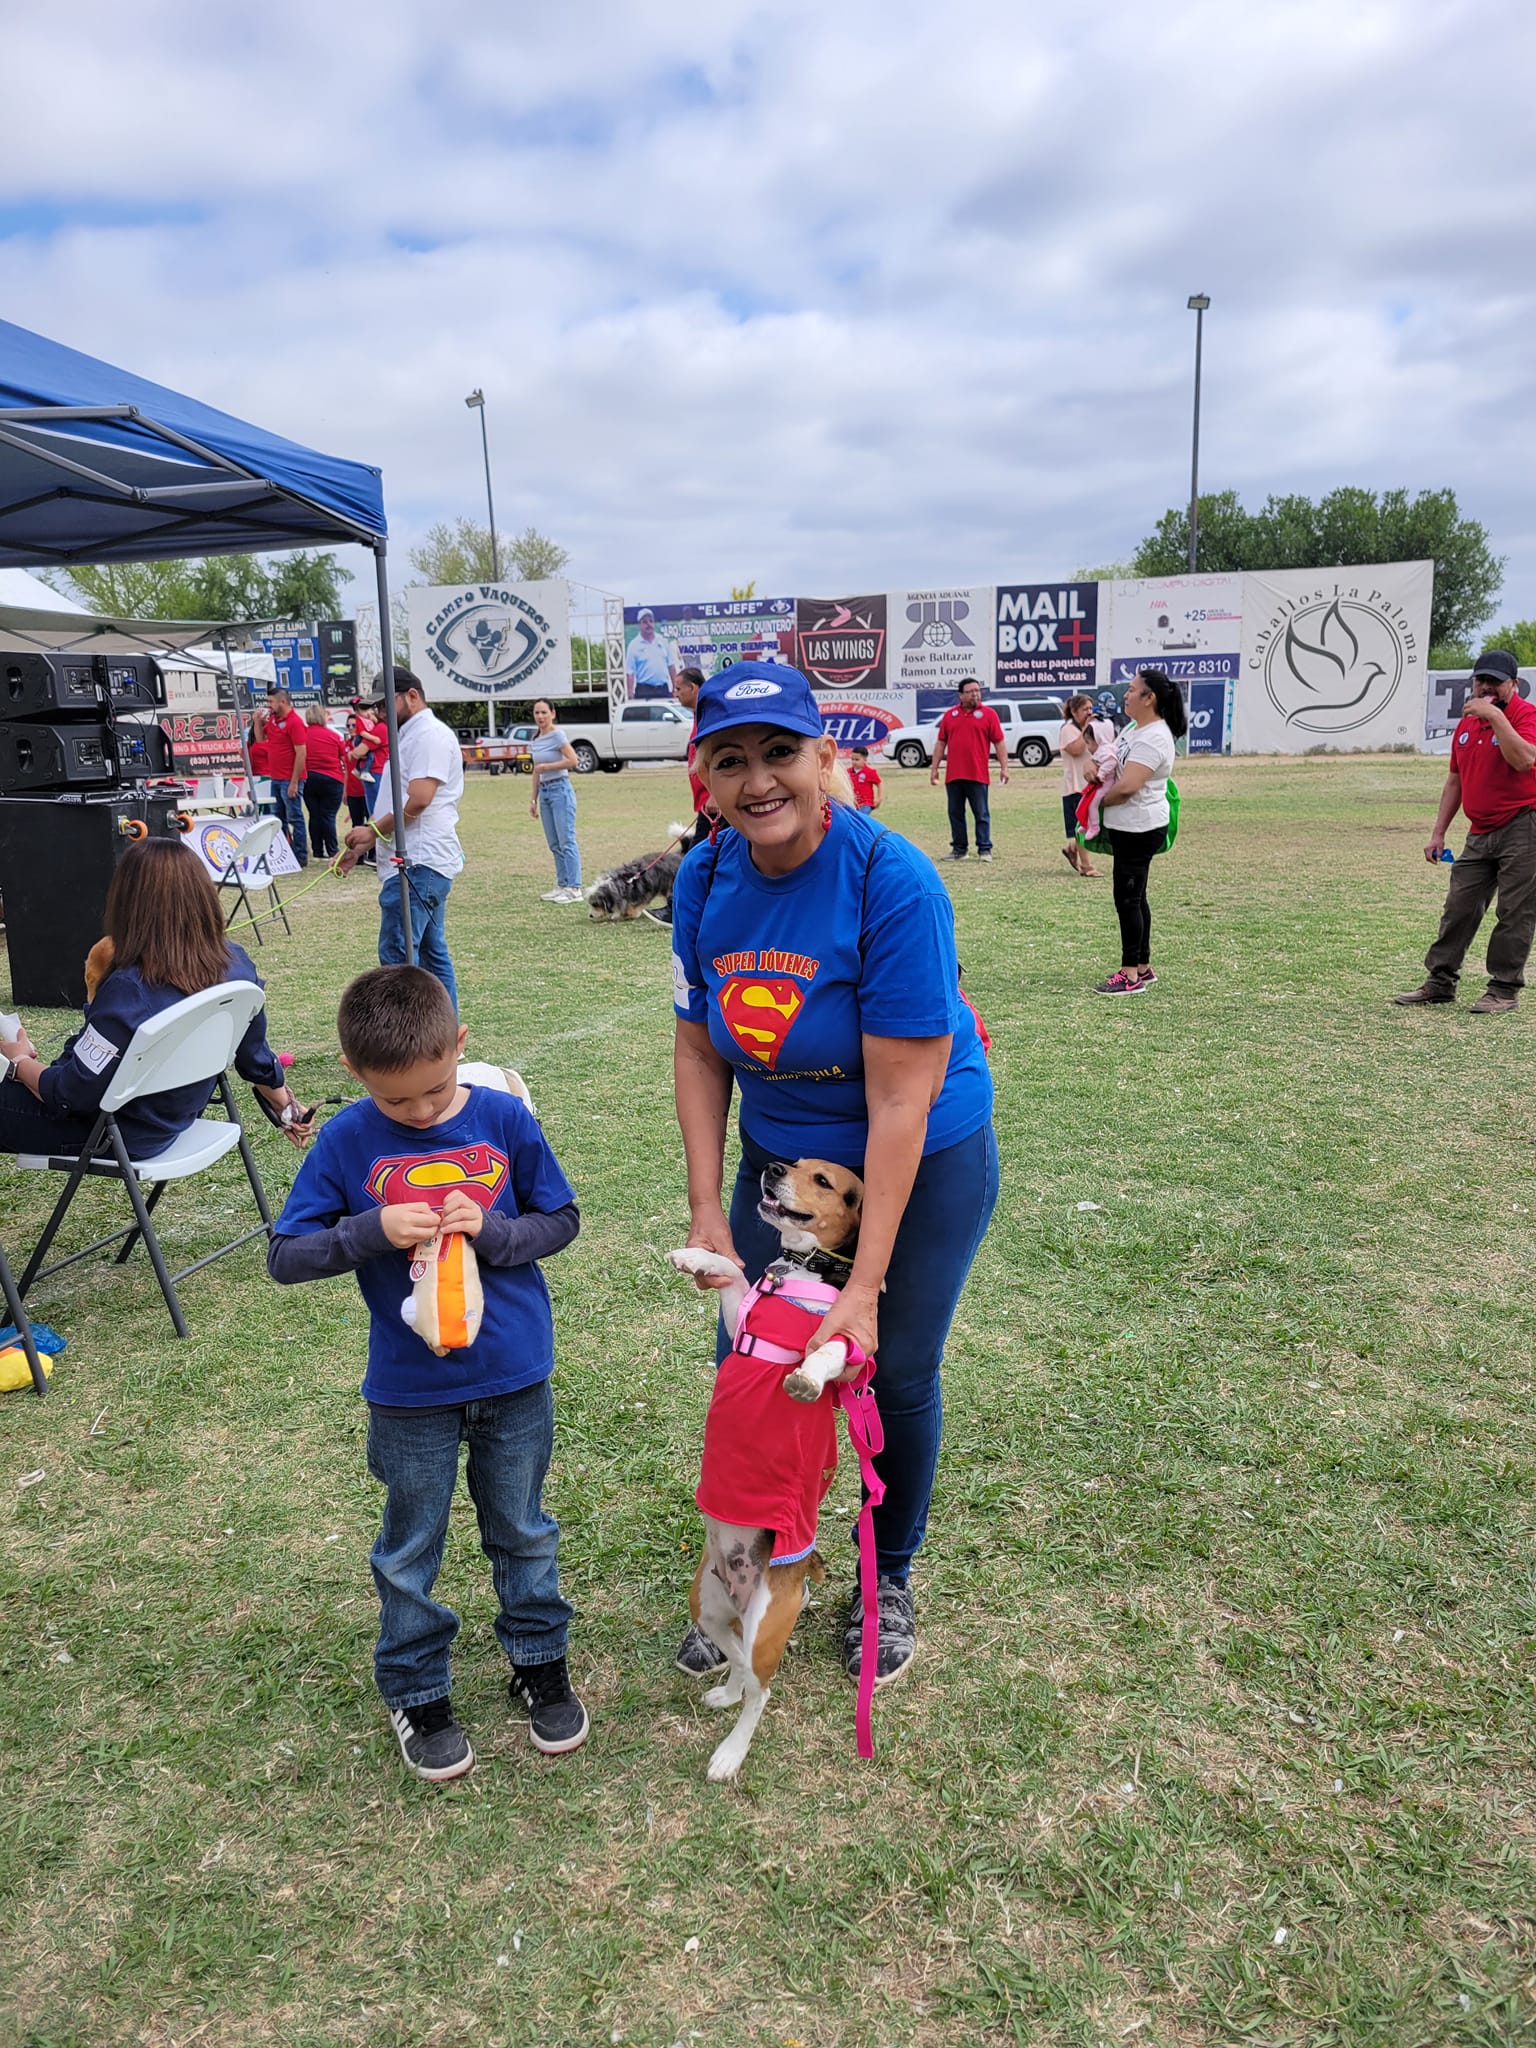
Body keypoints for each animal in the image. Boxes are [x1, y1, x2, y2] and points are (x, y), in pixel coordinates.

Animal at [663, 1163, 888, 1785]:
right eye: (798, 1162)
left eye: (824, 1179)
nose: (772, 1167)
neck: (802, 1272)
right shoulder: (742, 1313)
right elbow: (734, 1280)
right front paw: (699, 1256)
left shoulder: (853, 1350)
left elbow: (828, 1352)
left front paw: (805, 1378)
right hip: (709, 1605)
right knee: (739, 1660)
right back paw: (727, 1690)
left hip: (764, 1622)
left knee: (761, 1692)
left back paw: (730, 1753)